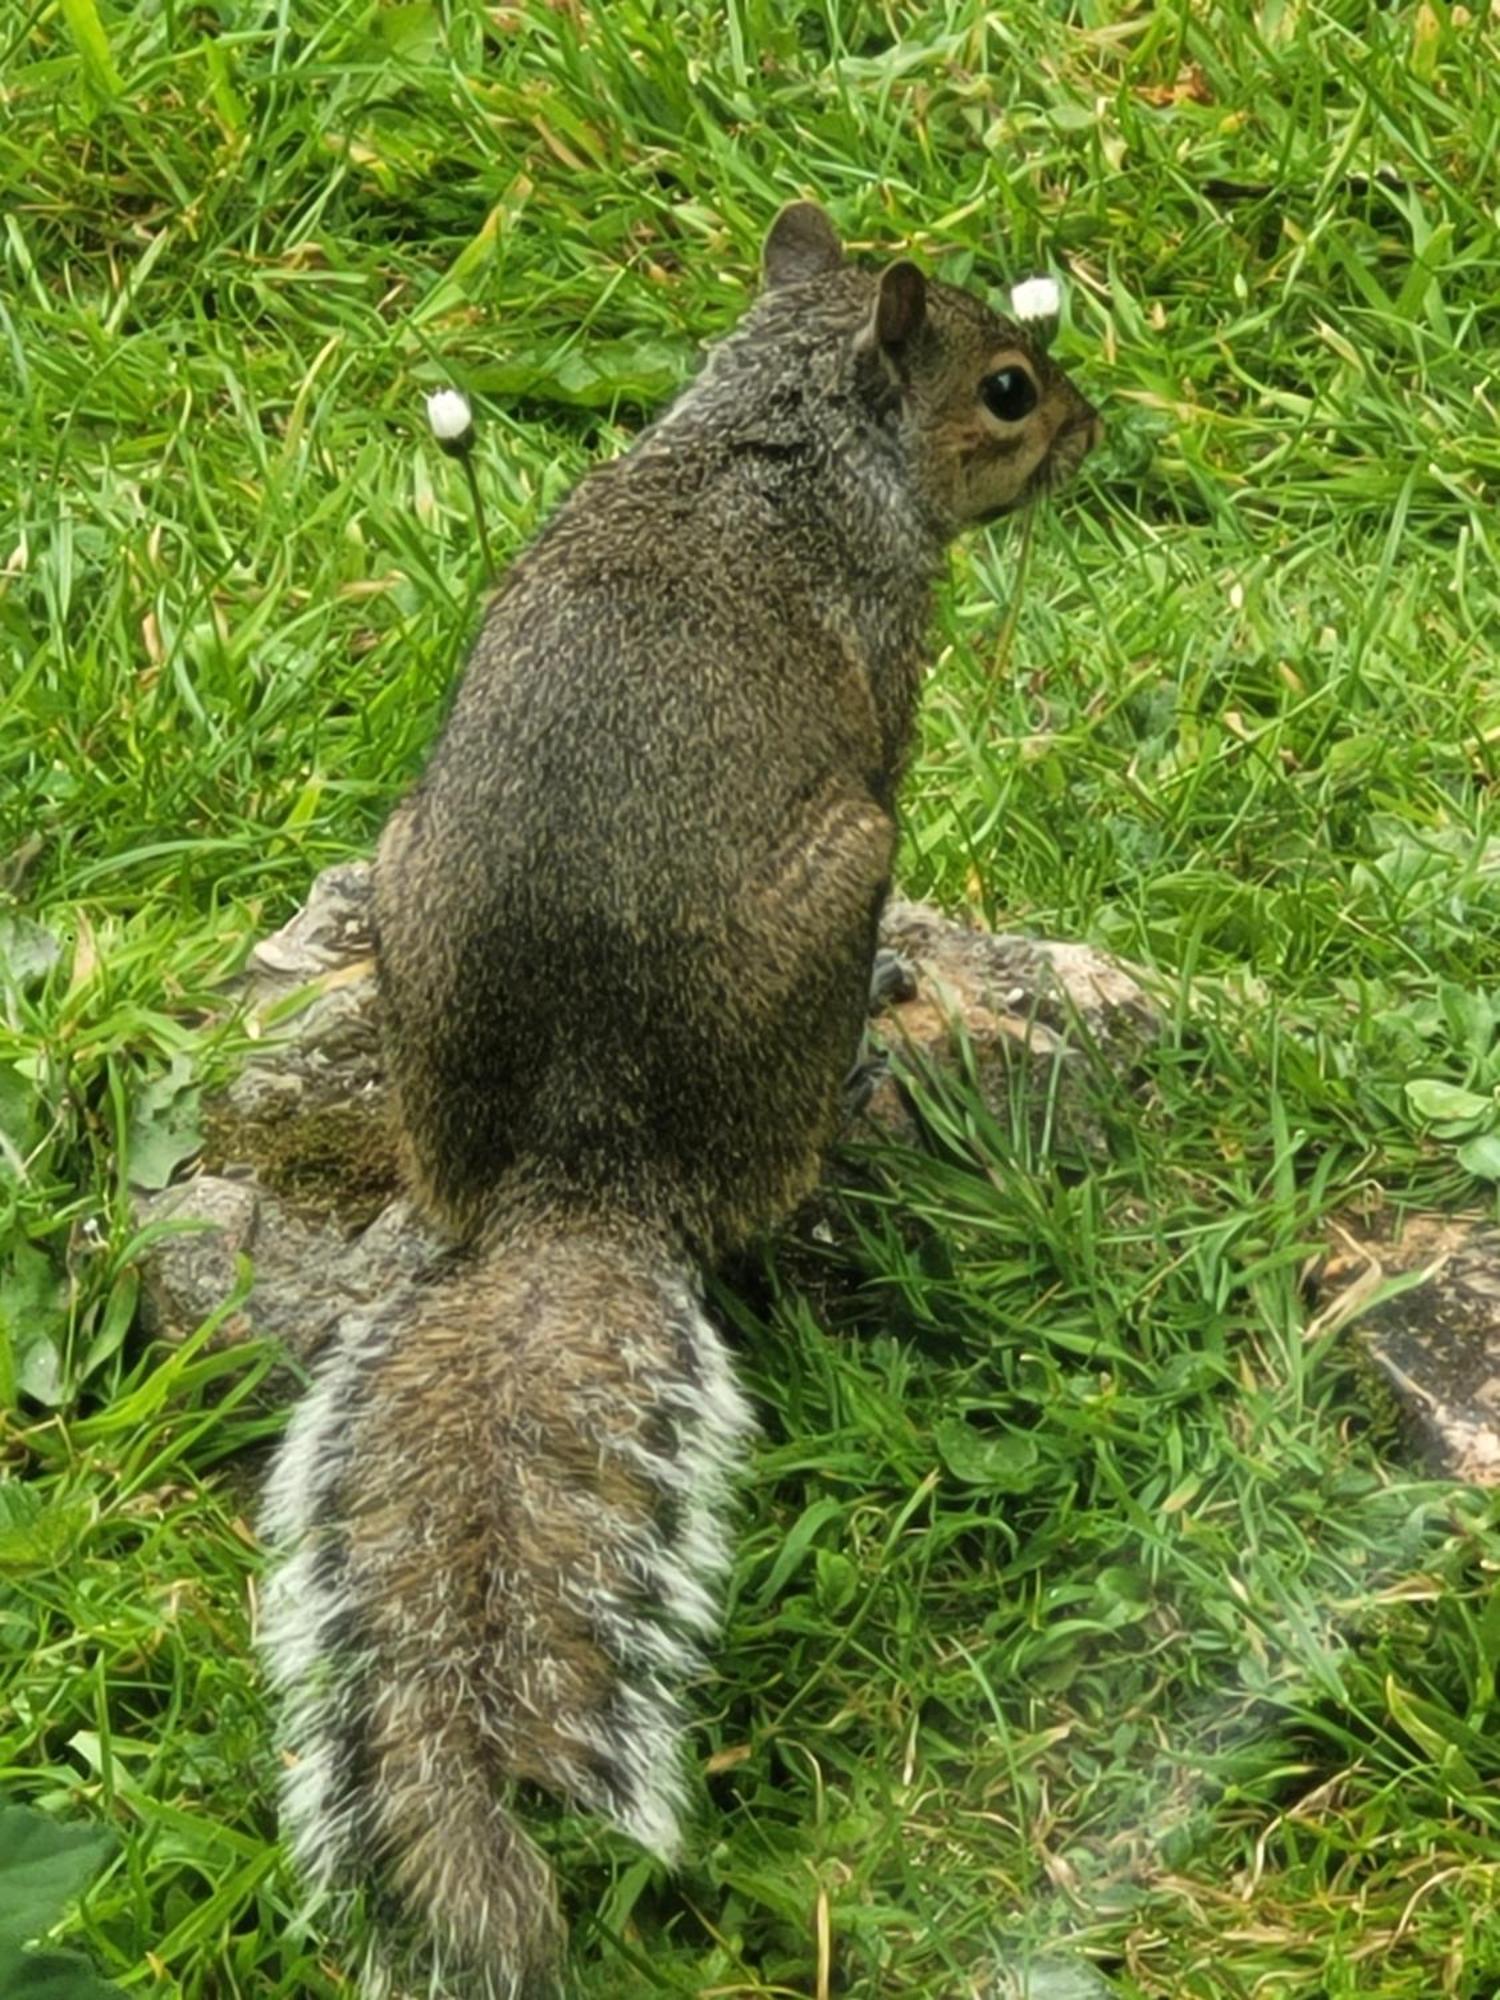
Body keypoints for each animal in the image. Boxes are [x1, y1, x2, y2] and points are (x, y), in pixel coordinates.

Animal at [258, 207, 1104, 2000]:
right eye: (1008, 386)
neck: (774, 436)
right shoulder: (887, 659)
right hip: (850, 870)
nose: (1090, 429)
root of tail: (581, 1165)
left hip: (399, 878)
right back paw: (863, 1052)